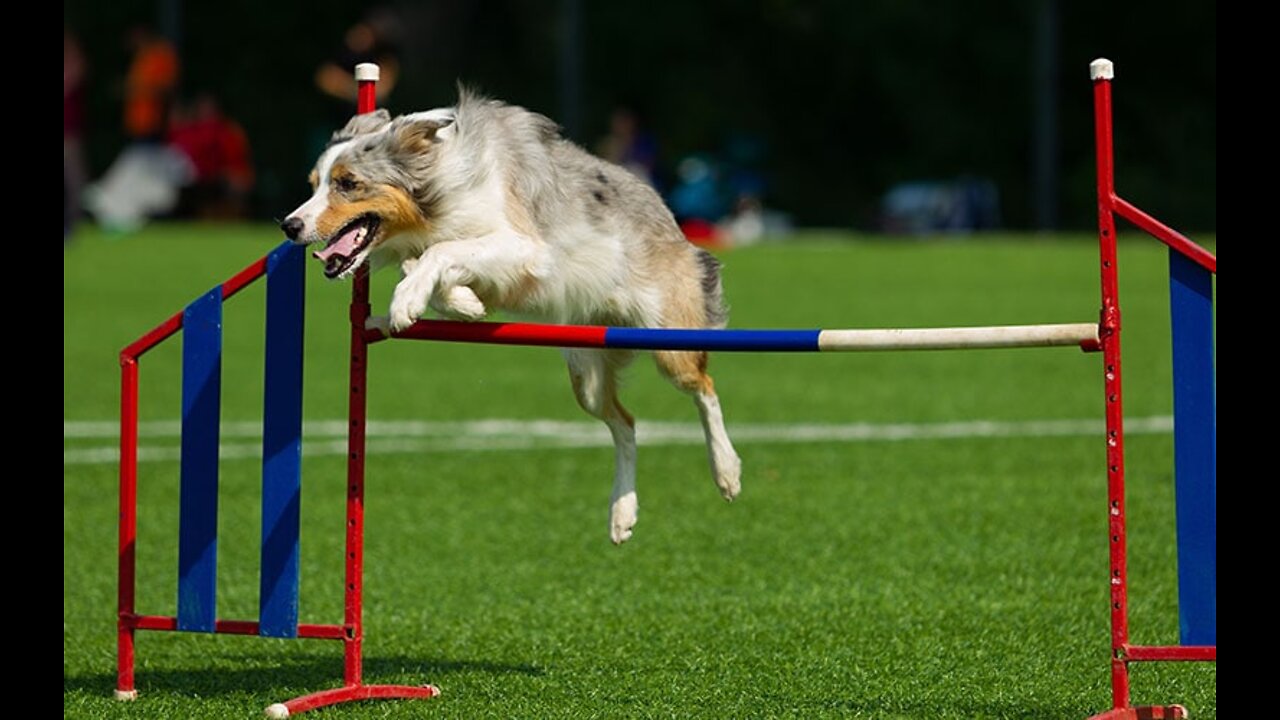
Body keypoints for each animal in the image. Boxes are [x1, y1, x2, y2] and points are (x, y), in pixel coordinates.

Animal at [280, 89, 742, 540]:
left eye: (348, 184)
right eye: (313, 185)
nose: (289, 226)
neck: (439, 185)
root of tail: (671, 221)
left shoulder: (525, 248)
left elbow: (440, 252)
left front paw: (408, 301)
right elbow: (429, 267)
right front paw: (463, 304)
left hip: (670, 341)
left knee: (704, 388)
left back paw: (726, 472)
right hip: (586, 371)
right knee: (626, 423)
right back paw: (621, 513)